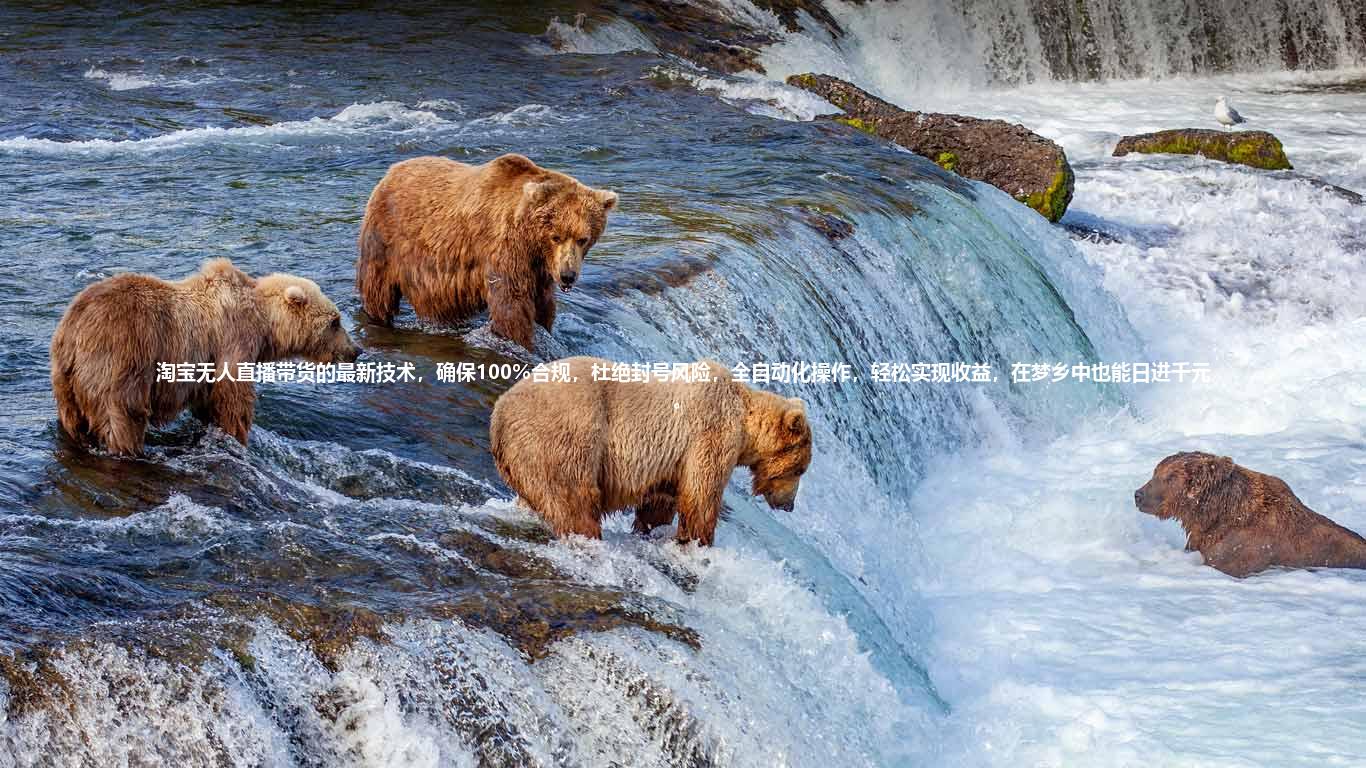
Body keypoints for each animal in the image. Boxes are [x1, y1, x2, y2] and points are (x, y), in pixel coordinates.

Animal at [49, 259, 357, 456]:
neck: (264, 324)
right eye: (335, 321)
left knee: (72, 418)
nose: (355, 350)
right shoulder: (232, 341)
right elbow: (232, 396)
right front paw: (238, 435)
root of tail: (73, 328)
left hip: (64, 378)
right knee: (124, 415)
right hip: (121, 358)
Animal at [355, 152, 617, 349]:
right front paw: (521, 341)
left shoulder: (539, 270)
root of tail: (391, 171)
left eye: (583, 239)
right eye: (556, 236)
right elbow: (511, 306)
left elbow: (543, 305)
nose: (567, 275)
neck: (531, 241)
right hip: (386, 241)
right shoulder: (504, 250)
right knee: (378, 291)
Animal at [491, 355, 808, 543]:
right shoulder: (710, 434)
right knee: (575, 500)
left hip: (526, 457)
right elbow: (701, 496)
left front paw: (652, 529)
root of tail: (499, 413)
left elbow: (660, 501)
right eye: (799, 470)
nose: (789, 505)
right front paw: (698, 542)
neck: (745, 420)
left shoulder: (670, 463)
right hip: (566, 436)